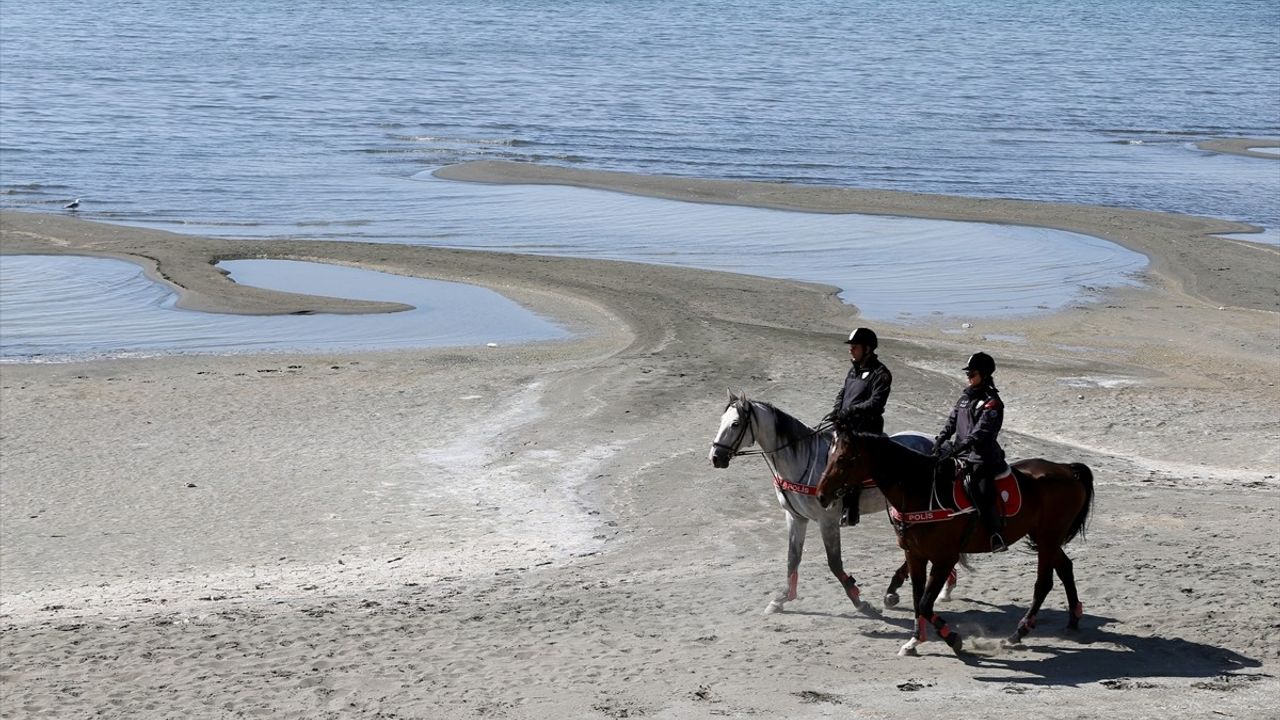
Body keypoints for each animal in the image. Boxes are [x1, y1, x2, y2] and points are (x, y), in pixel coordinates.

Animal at [711, 392, 952, 609]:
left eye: (735, 424)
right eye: (721, 421)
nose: (715, 457)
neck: (802, 460)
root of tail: (937, 444)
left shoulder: (828, 521)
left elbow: (834, 562)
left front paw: (858, 599)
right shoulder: (796, 518)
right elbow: (792, 559)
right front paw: (781, 599)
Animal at [819, 427, 1090, 653]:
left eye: (842, 459)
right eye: (828, 457)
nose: (821, 494)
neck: (921, 490)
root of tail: (1067, 469)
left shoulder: (944, 558)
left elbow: (926, 603)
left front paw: (952, 638)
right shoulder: (914, 555)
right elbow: (918, 600)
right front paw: (915, 640)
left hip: (1047, 538)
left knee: (1043, 584)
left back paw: (1018, 632)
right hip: (1044, 537)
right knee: (1066, 567)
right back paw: (1073, 619)